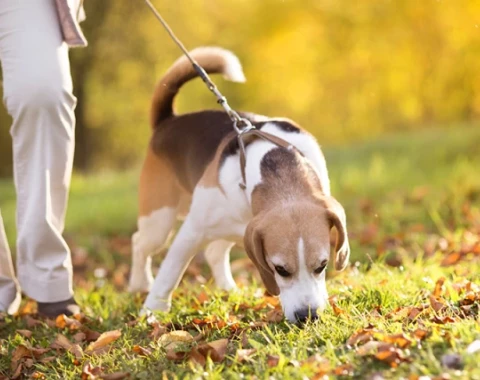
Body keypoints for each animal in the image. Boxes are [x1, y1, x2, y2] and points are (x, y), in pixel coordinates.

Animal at [129, 46, 350, 322]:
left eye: (322, 265)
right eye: (280, 269)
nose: (307, 316)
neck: (277, 166)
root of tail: (168, 121)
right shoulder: (192, 231)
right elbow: (169, 274)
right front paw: (151, 312)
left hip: (232, 229)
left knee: (214, 252)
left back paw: (228, 289)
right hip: (158, 221)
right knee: (139, 243)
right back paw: (139, 284)